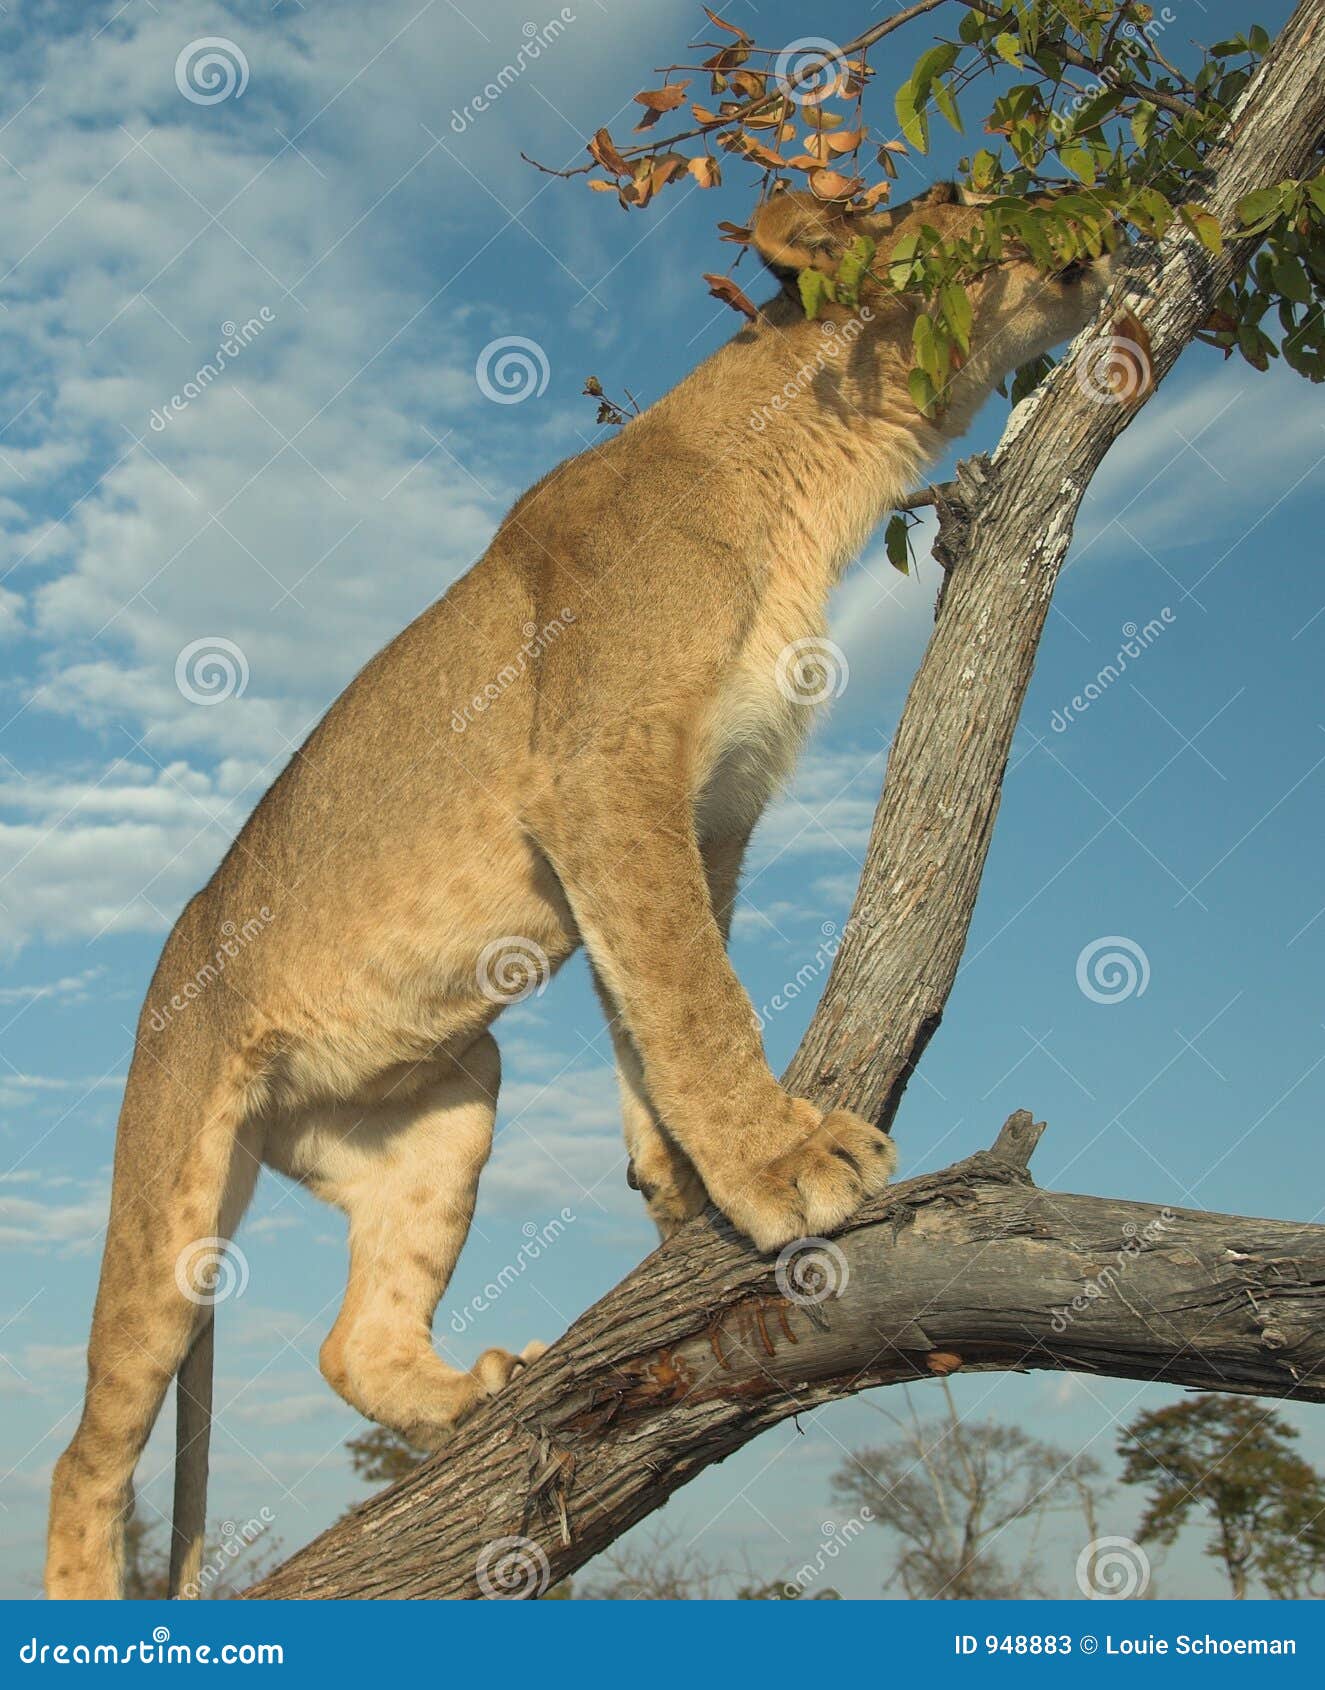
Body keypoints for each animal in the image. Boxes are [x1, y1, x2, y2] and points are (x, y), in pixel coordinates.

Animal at [43, 185, 1115, 1595]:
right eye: (960, 202)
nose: (1075, 217)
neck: (815, 475)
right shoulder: (602, 776)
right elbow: (693, 991)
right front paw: (783, 1159)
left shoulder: (702, 815)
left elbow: (653, 993)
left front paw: (678, 1174)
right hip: (169, 1186)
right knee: (85, 1455)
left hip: (444, 1107)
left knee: (347, 1343)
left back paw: (468, 1397)